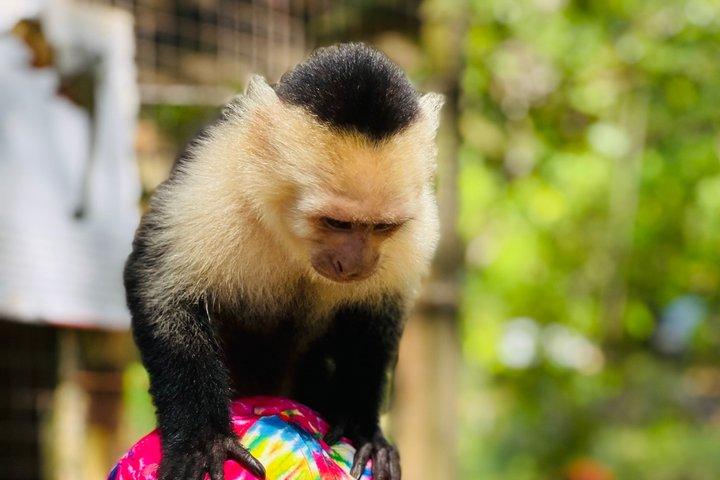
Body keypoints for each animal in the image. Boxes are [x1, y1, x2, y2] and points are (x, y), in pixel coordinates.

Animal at [124, 43, 443, 480]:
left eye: (383, 227)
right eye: (335, 222)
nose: (355, 264)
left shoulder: (418, 228)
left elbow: (374, 322)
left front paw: (363, 430)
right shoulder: (215, 178)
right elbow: (164, 292)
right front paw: (203, 439)